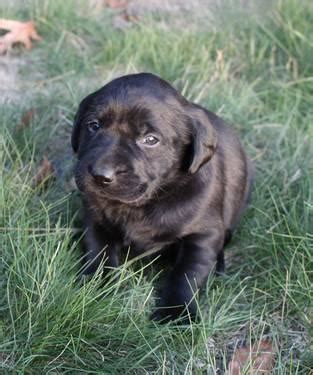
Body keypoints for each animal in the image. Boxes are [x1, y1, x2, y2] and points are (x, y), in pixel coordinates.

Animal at [71, 73, 251, 324]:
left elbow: (186, 273)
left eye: (150, 139)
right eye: (94, 126)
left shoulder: (203, 234)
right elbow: (99, 252)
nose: (100, 174)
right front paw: (96, 288)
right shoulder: (95, 220)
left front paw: (177, 313)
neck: (143, 204)